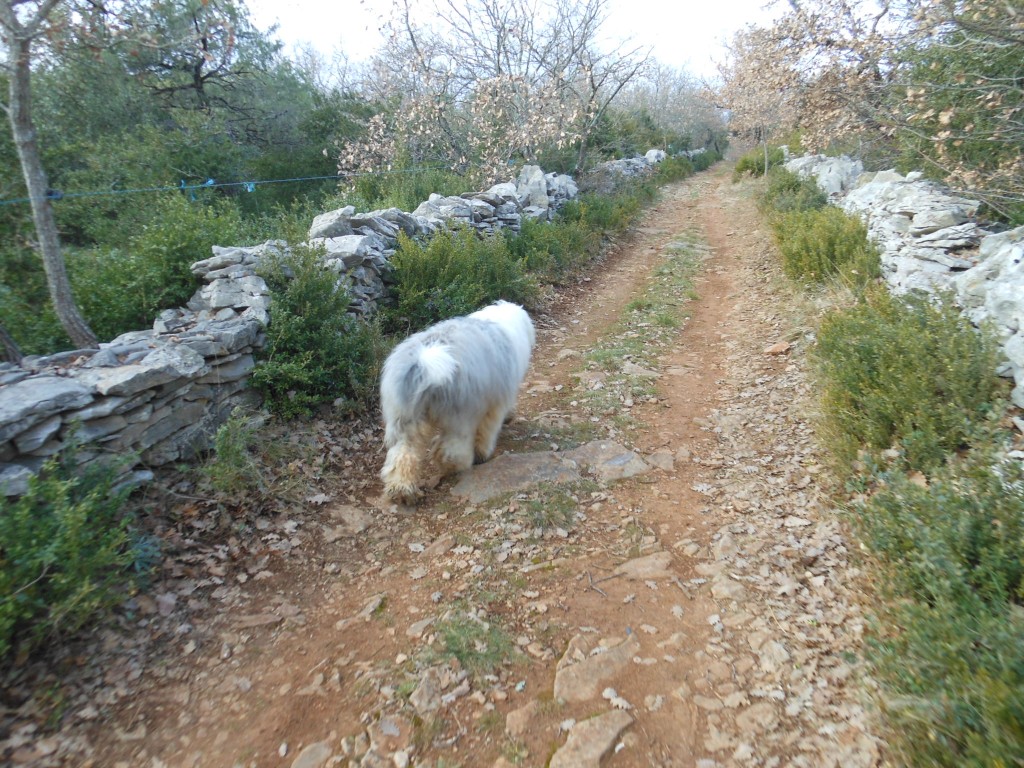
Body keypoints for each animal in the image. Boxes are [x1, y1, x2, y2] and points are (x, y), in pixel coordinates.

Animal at [378, 301, 536, 505]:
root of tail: (425, 363)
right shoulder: (495, 403)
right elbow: (487, 430)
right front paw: (483, 453)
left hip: (404, 416)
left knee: (403, 452)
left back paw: (401, 490)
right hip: (459, 414)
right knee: (451, 449)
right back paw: (455, 465)